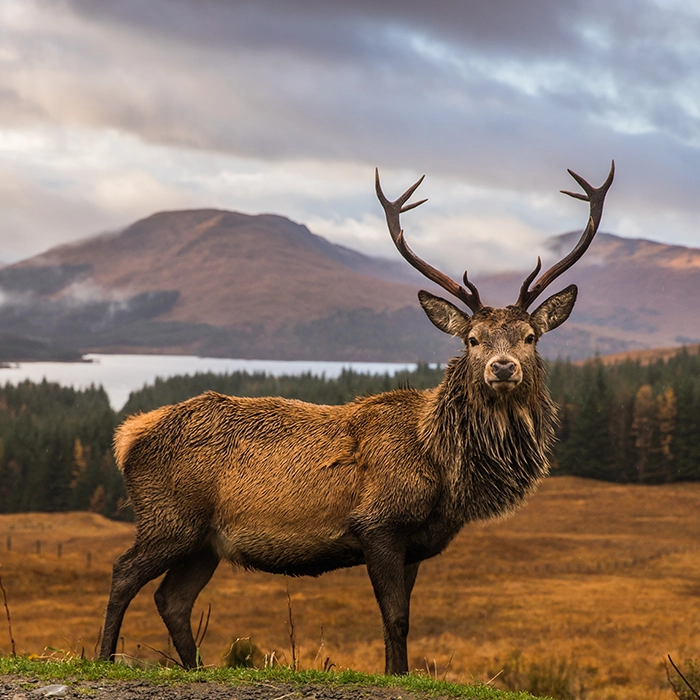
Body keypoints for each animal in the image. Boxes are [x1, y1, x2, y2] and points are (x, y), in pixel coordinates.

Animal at [99, 162, 614, 675]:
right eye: (472, 339)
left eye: (530, 337)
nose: (502, 368)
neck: (442, 467)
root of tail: (127, 436)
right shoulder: (377, 522)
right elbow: (396, 617)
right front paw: (398, 673)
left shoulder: (415, 543)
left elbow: (400, 618)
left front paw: (395, 671)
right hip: (169, 517)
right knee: (124, 572)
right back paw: (104, 657)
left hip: (204, 542)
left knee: (172, 599)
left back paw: (194, 667)